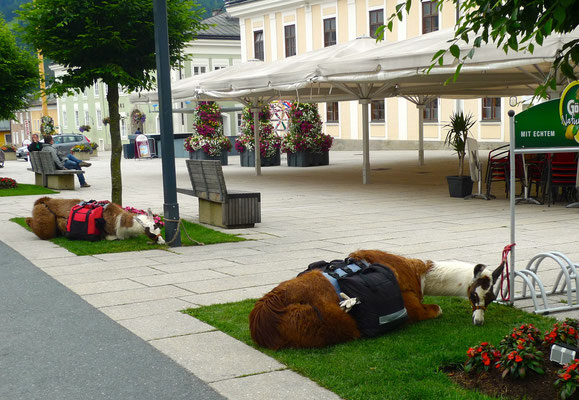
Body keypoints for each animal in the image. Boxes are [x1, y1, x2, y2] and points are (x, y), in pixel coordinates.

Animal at [25, 197, 165, 244]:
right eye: (151, 231)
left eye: (158, 229)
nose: (162, 241)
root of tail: (44, 200)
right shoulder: (110, 234)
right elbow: (114, 238)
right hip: (45, 218)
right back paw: (27, 221)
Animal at [251, 250, 506, 350]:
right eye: (474, 294)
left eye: (492, 298)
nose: (479, 321)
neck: (420, 276)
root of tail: (261, 319)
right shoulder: (411, 306)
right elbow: (437, 309)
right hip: (325, 321)